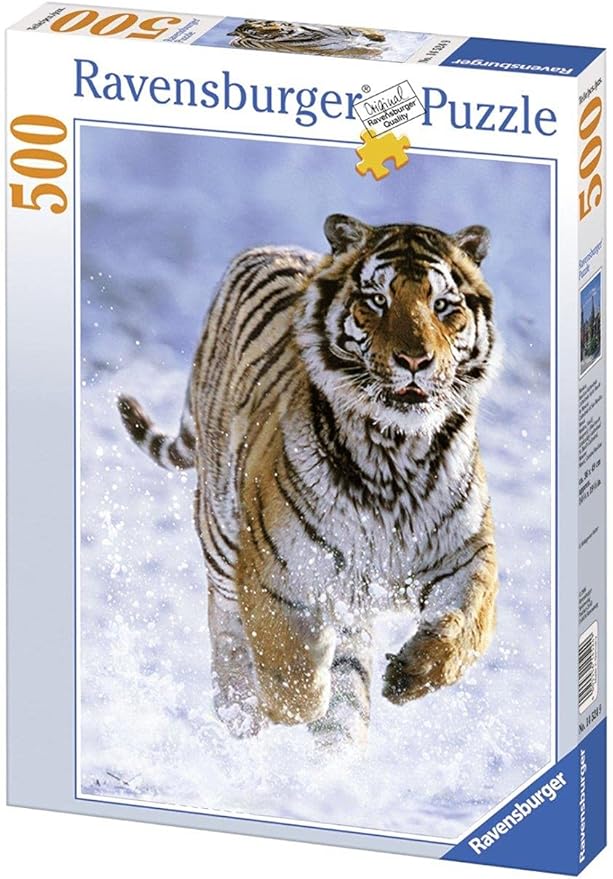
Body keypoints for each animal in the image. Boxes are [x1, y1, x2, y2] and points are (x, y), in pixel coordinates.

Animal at [118, 214, 499, 748]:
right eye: (376, 300)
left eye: (443, 305)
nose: (415, 361)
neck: (395, 452)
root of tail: (264, 248)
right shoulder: (277, 572)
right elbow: (291, 675)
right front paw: (294, 697)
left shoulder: (465, 554)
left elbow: (467, 624)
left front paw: (411, 674)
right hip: (221, 537)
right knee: (227, 630)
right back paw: (242, 713)